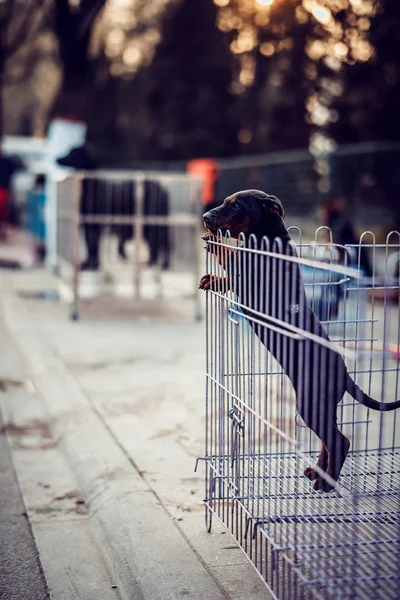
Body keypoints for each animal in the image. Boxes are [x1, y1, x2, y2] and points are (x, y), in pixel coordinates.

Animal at [200, 189, 400, 492]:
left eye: (235, 205)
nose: (205, 217)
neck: (269, 240)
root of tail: (345, 373)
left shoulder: (250, 271)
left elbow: (231, 255)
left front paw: (214, 241)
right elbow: (230, 274)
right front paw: (212, 279)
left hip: (311, 402)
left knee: (339, 441)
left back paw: (326, 483)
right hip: (320, 403)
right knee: (329, 440)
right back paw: (318, 473)